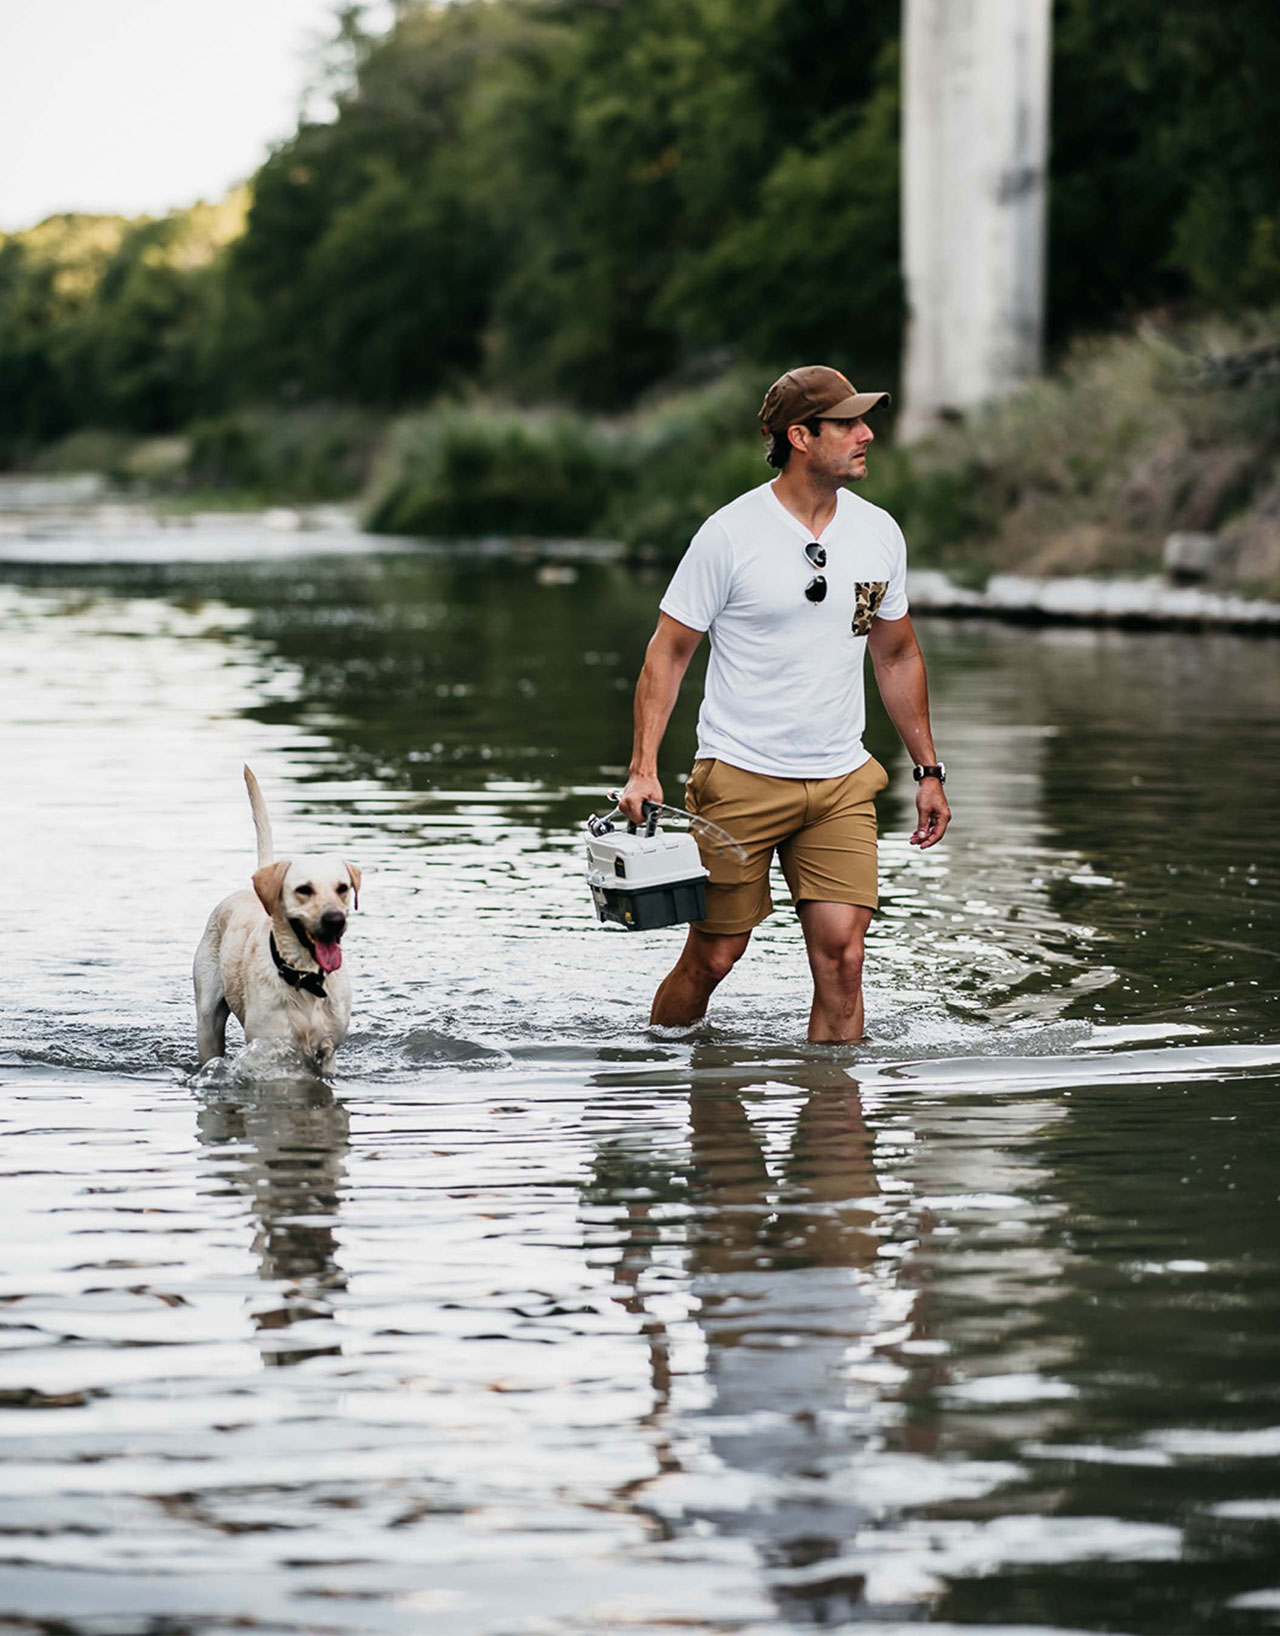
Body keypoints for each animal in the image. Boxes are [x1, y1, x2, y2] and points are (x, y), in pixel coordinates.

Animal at [198, 768, 363, 1073]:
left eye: (343, 888)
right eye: (304, 889)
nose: (335, 920)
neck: (307, 979)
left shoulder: (328, 1052)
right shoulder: (269, 1050)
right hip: (206, 1023)